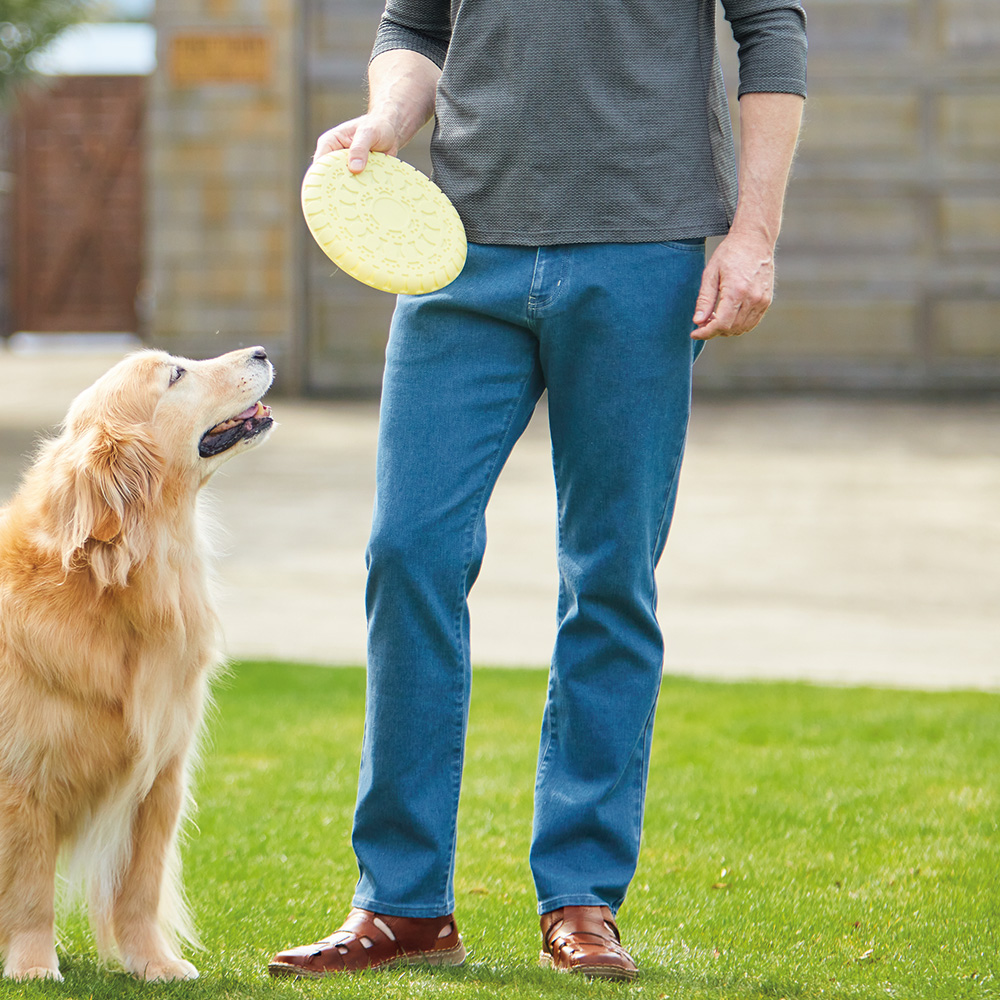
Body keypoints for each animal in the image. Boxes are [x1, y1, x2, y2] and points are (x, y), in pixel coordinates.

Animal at [0, 348, 274, 980]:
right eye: (176, 374)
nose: (262, 352)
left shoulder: (161, 775)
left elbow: (140, 887)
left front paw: (155, 964)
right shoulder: (21, 782)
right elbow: (29, 890)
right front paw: (33, 967)